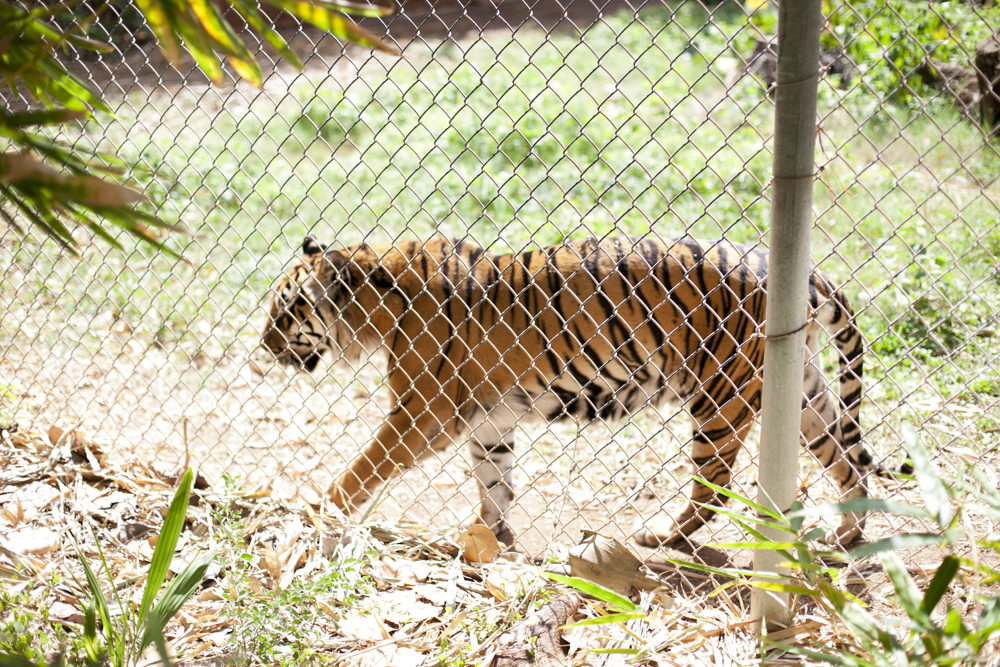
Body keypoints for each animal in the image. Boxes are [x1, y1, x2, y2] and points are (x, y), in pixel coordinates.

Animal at [262, 235, 880, 548]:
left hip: (720, 397)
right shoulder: (489, 419)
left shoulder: (421, 414)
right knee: (850, 460)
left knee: (717, 484)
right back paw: (847, 535)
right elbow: (495, 483)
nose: (264, 347)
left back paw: (660, 536)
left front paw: (317, 514)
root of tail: (803, 272)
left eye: (285, 311)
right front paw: (492, 537)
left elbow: (361, 470)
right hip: (803, 395)